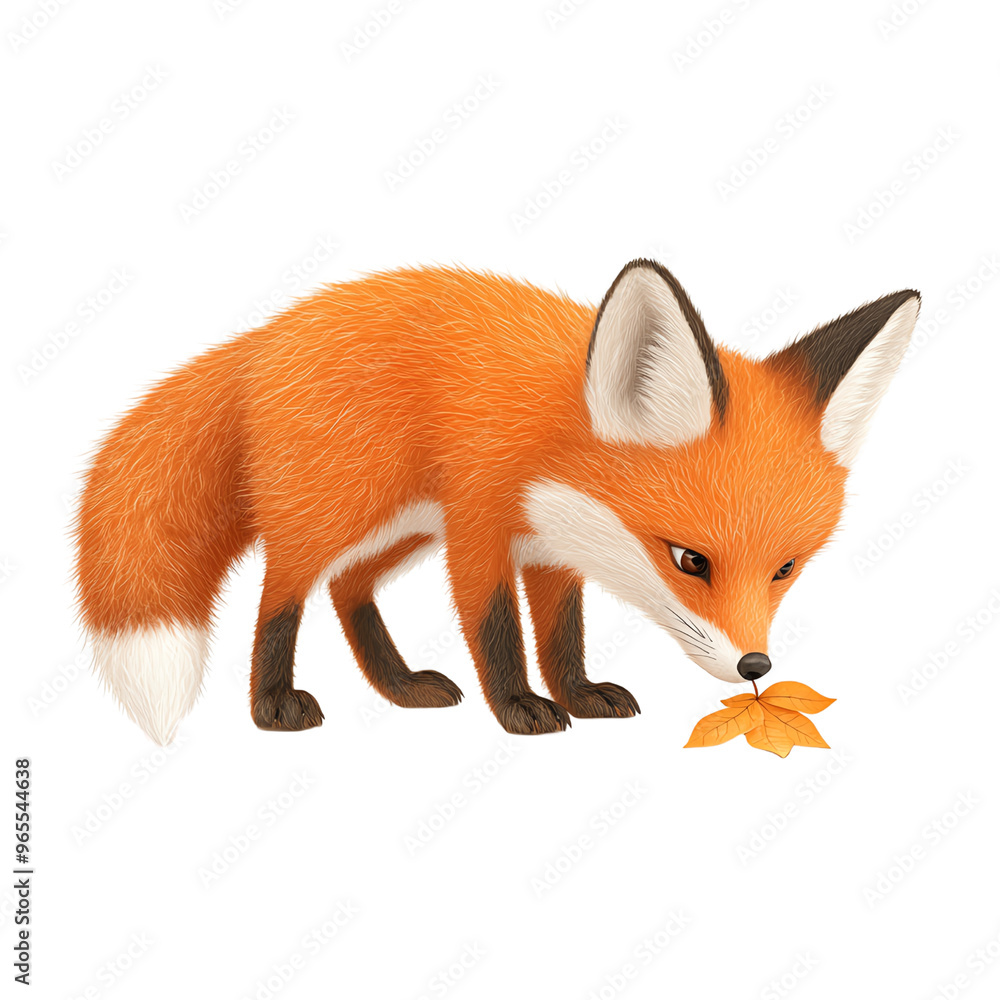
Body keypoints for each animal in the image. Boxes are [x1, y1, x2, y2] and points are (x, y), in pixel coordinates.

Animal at [74, 259, 921, 745]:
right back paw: (273, 702)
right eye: (690, 559)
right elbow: (497, 631)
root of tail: (266, 336)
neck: (546, 433)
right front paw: (520, 708)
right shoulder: (478, 528)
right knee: (280, 593)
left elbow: (562, 636)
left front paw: (580, 694)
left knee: (348, 588)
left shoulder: (553, 545)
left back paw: (401, 686)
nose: (754, 666)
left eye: (784, 569)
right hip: (340, 512)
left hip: (401, 527)